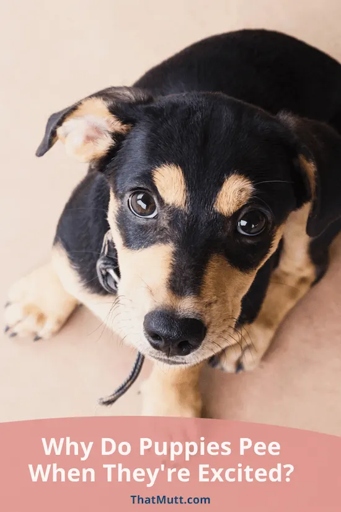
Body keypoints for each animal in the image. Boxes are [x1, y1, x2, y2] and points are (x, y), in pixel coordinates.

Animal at [4, 29, 340, 416]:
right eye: (142, 202)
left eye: (252, 222)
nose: (172, 333)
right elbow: (64, 263)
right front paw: (39, 302)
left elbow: (180, 366)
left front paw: (170, 409)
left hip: (314, 219)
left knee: (305, 269)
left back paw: (249, 341)